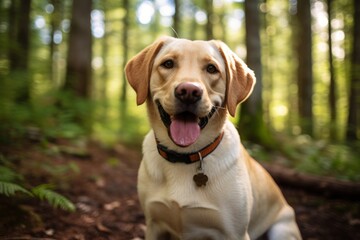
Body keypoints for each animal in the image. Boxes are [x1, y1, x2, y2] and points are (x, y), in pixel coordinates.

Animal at [125, 36, 302, 239]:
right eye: (168, 63)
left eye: (211, 68)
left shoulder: (235, 233)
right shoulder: (154, 224)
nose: (188, 91)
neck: (185, 156)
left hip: (282, 229)